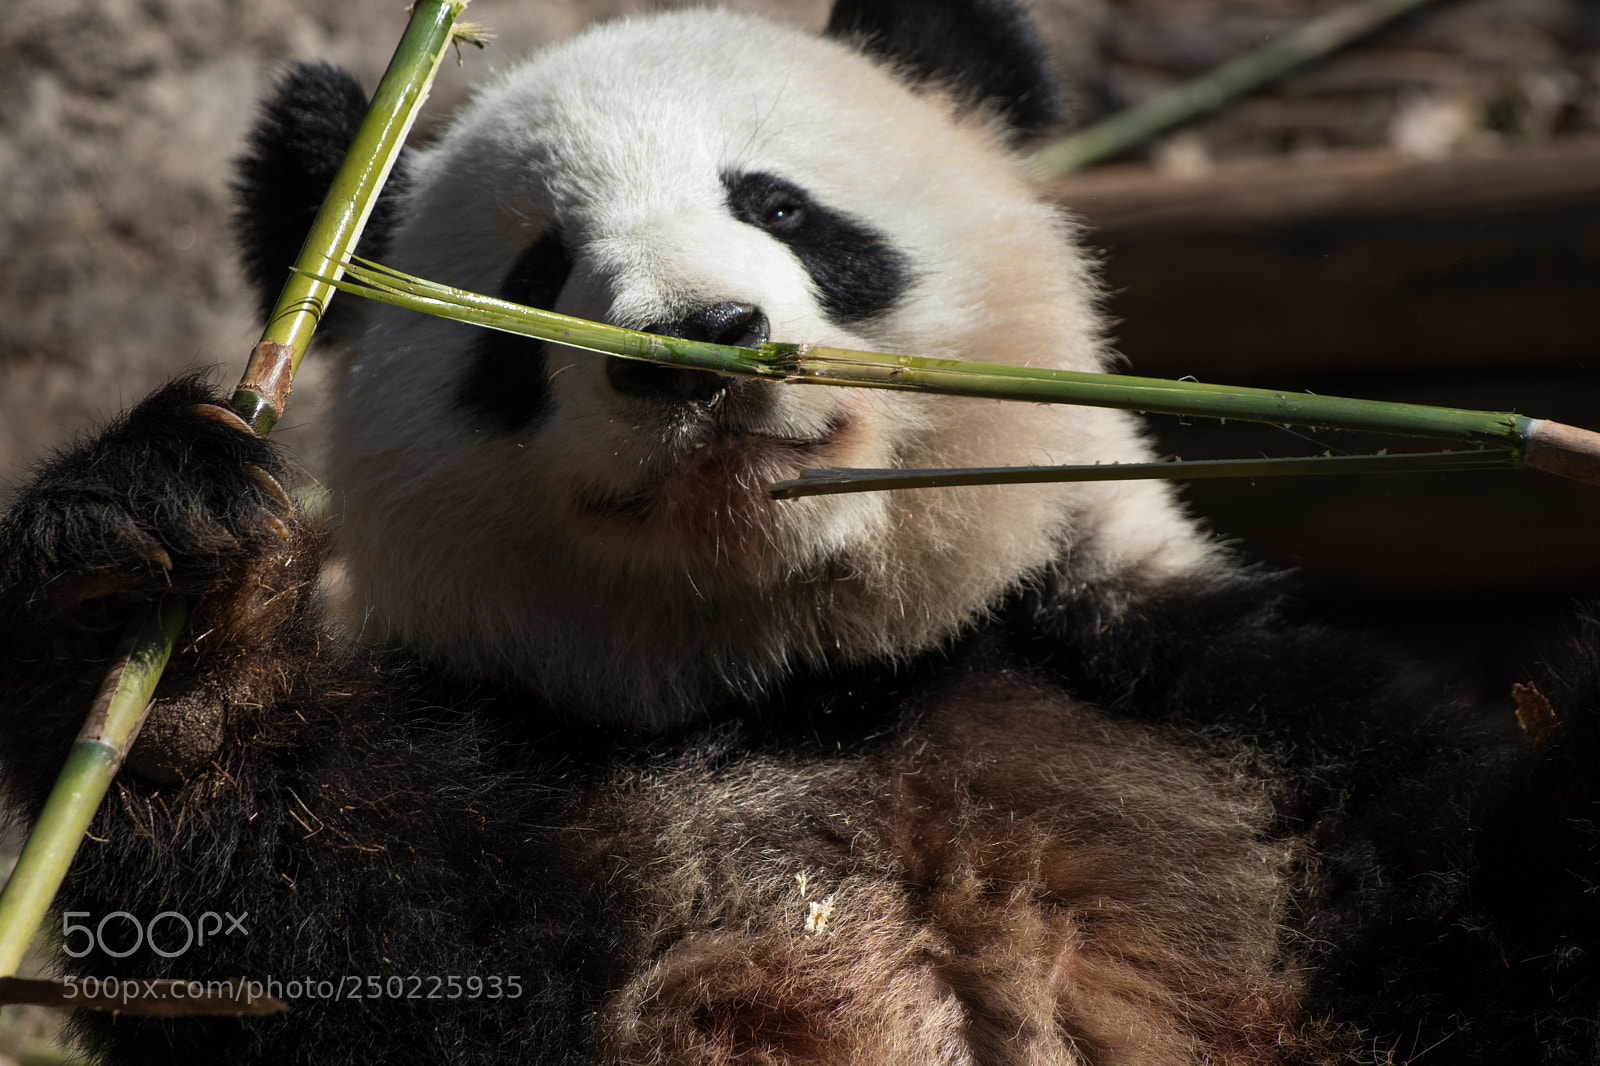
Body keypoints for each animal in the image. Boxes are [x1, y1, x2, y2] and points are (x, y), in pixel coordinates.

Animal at [2, 0, 1598, 1063]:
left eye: (778, 204)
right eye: (539, 278)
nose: (696, 347)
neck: (817, 678)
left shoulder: (1247, 738)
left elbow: (1489, 940)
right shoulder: (537, 828)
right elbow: (276, 954)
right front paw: (157, 612)